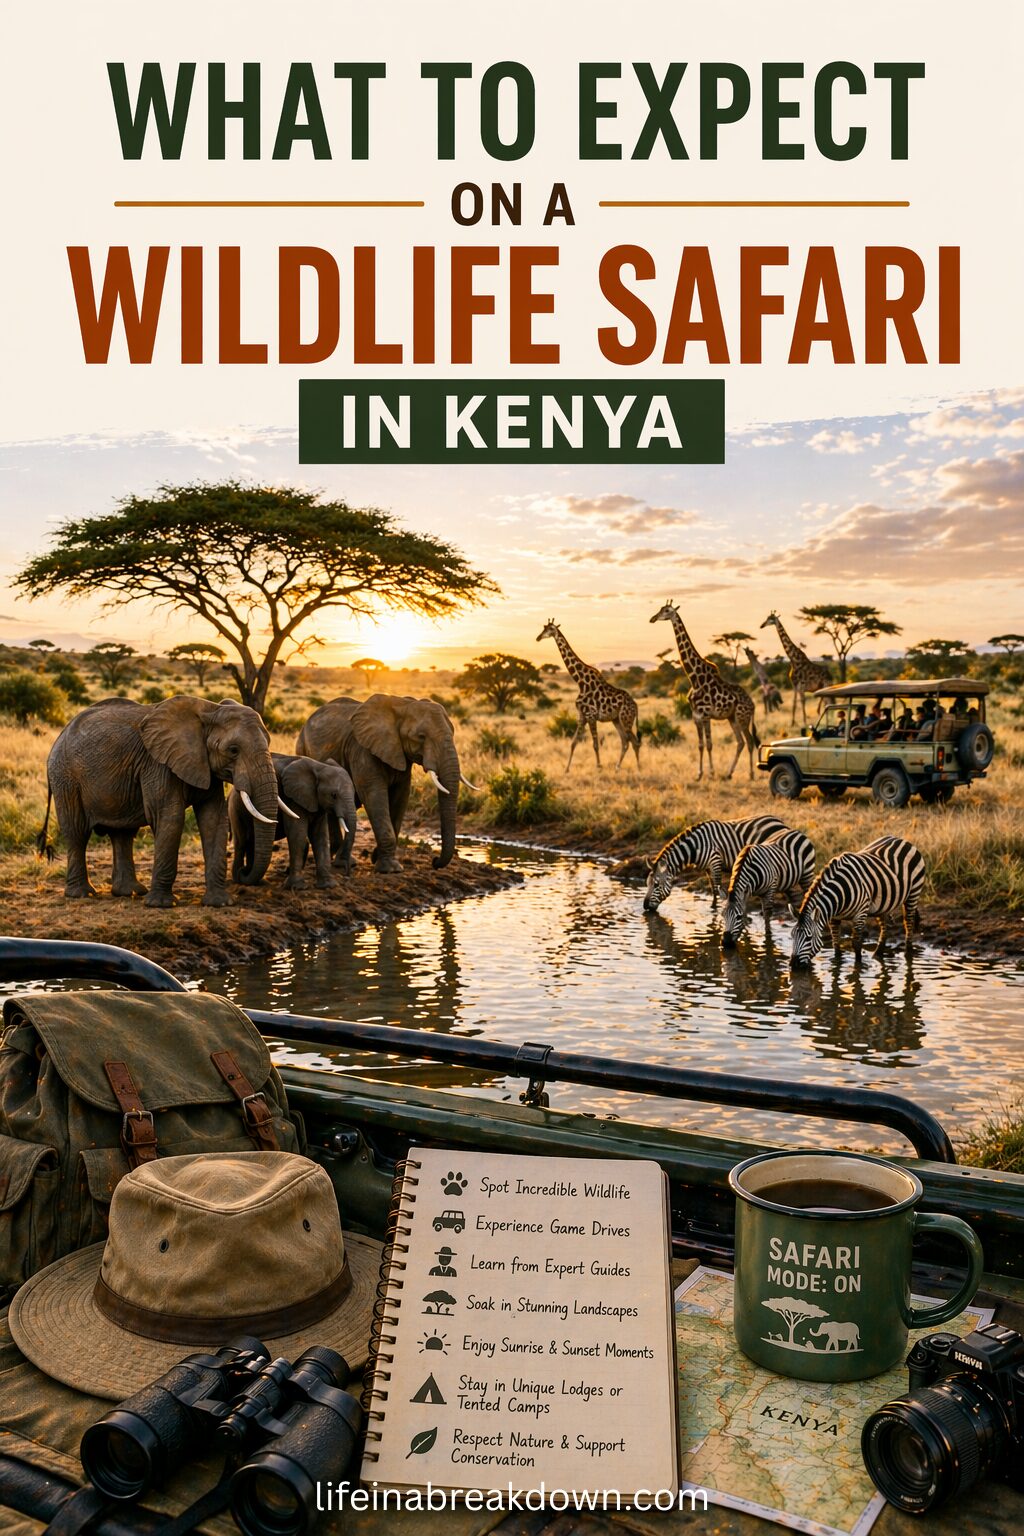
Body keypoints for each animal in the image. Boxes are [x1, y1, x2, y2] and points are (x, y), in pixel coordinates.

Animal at [40, 695, 279, 907]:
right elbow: (171, 817)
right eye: (233, 750)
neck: (210, 709)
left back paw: (130, 892)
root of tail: (59, 737)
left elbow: (213, 820)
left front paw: (220, 903)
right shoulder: (158, 765)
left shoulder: (205, 767)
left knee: (123, 834)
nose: (244, 872)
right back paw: (82, 894)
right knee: (77, 831)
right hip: (65, 777)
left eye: (269, 742)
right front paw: (162, 905)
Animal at [229, 753, 358, 890]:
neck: (319, 767)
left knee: (252, 842)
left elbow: (320, 837)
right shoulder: (292, 798)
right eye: (334, 795)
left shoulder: (317, 802)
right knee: (242, 841)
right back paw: (239, 876)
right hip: (235, 809)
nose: (343, 869)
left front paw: (328, 885)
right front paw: (298, 887)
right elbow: (298, 835)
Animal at [296, 694, 474, 874]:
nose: (435, 861)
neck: (403, 705)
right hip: (302, 749)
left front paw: (377, 857)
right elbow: (374, 795)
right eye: (421, 737)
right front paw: (391, 869)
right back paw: (342, 862)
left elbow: (401, 796)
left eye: (453, 733)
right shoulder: (362, 750)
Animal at [642, 815, 789, 912]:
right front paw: (712, 907)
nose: (644, 906)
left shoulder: (715, 861)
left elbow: (718, 887)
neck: (695, 846)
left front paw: (717, 909)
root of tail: (778, 820)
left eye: (656, 884)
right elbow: (713, 888)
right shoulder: (707, 867)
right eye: (647, 883)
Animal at [790, 836, 925, 967]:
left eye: (809, 938)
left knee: (908, 922)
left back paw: (908, 953)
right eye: (792, 936)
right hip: (882, 903)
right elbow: (835, 943)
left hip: (914, 892)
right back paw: (877, 954)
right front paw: (837, 963)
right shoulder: (834, 917)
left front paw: (858, 966)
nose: (793, 964)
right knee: (884, 928)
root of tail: (903, 840)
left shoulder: (860, 914)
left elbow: (856, 944)